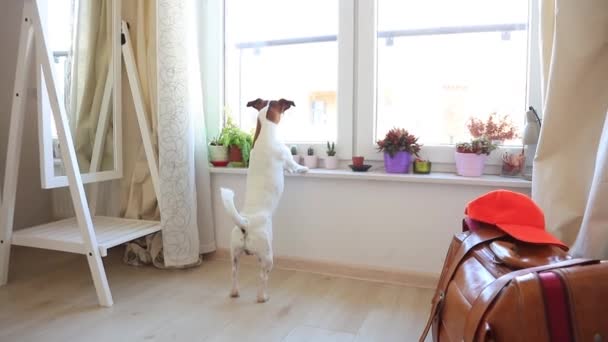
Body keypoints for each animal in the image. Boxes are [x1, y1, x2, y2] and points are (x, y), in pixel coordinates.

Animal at [220, 98, 308, 302]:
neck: (265, 136)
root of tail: (245, 223)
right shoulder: (287, 159)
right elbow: (294, 166)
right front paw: (304, 168)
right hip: (267, 256)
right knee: (263, 276)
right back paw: (263, 296)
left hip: (233, 254)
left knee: (233, 273)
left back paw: (234, 292)